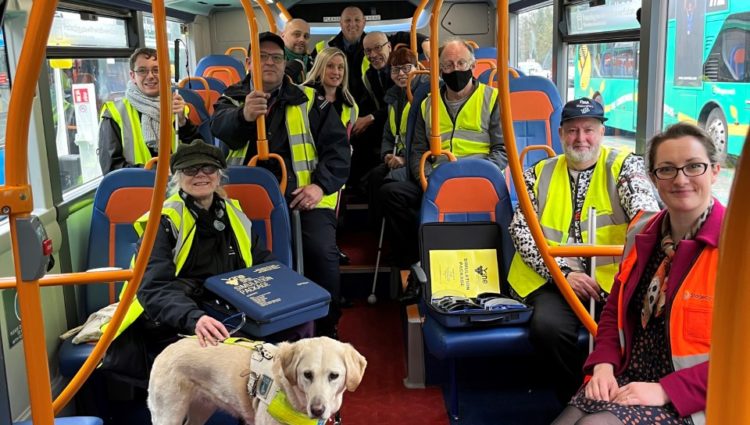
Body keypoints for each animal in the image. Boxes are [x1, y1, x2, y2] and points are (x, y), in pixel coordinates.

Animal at [146, 336, 368, 422]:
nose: (317, 410)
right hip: (168, 415)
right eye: (307, 374)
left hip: (201, 409)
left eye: (334, 376)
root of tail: (164, 351)